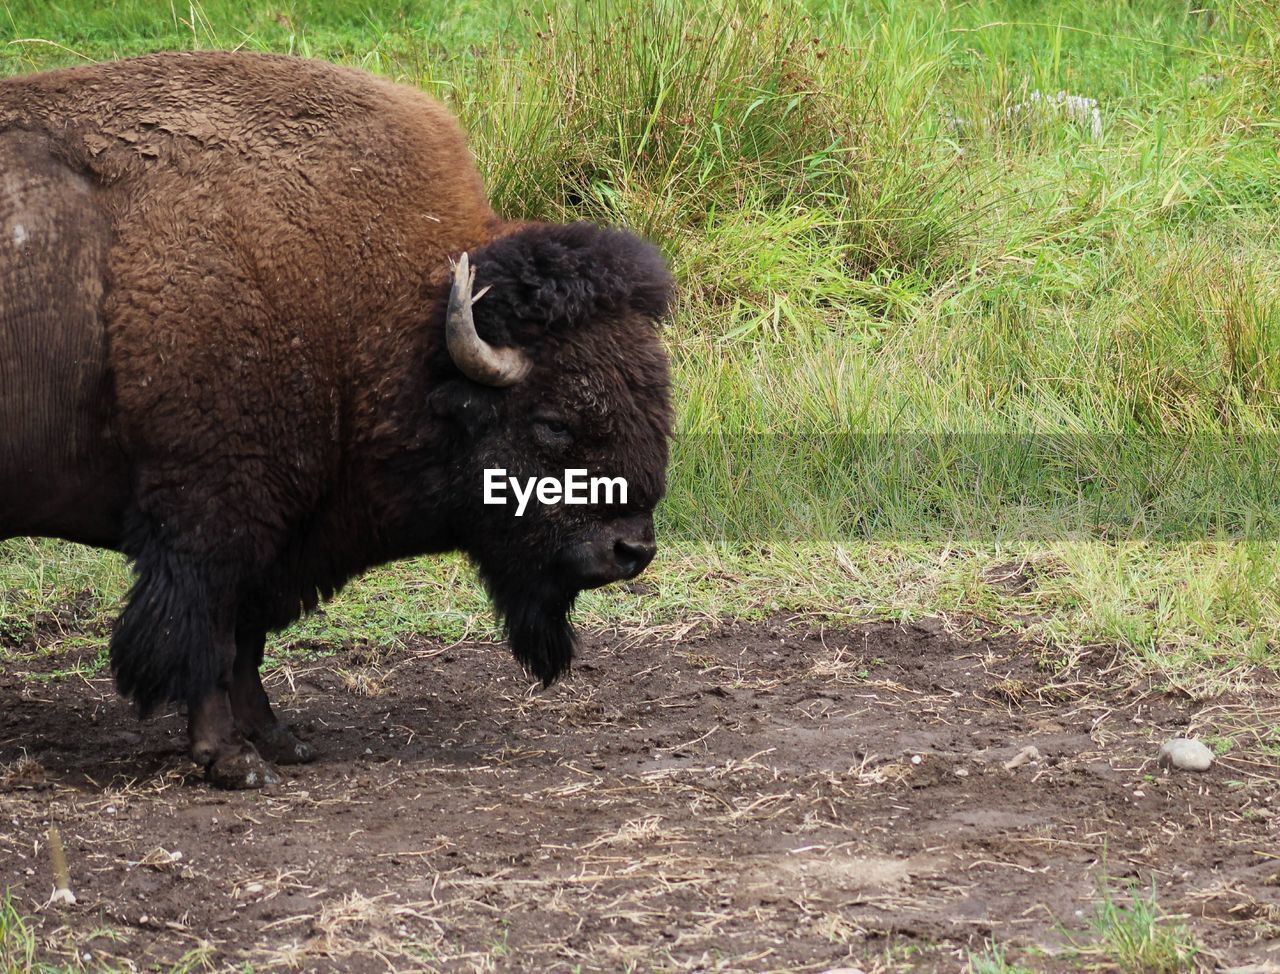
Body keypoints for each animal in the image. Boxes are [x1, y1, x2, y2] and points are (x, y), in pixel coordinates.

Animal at [0, 53, 675, 788]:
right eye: (553, 423)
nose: (631, 551)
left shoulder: (277, 535)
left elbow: (245, 642)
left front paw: (278, 739)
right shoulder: (213, 520)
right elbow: (207, 636)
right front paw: (231, 761)